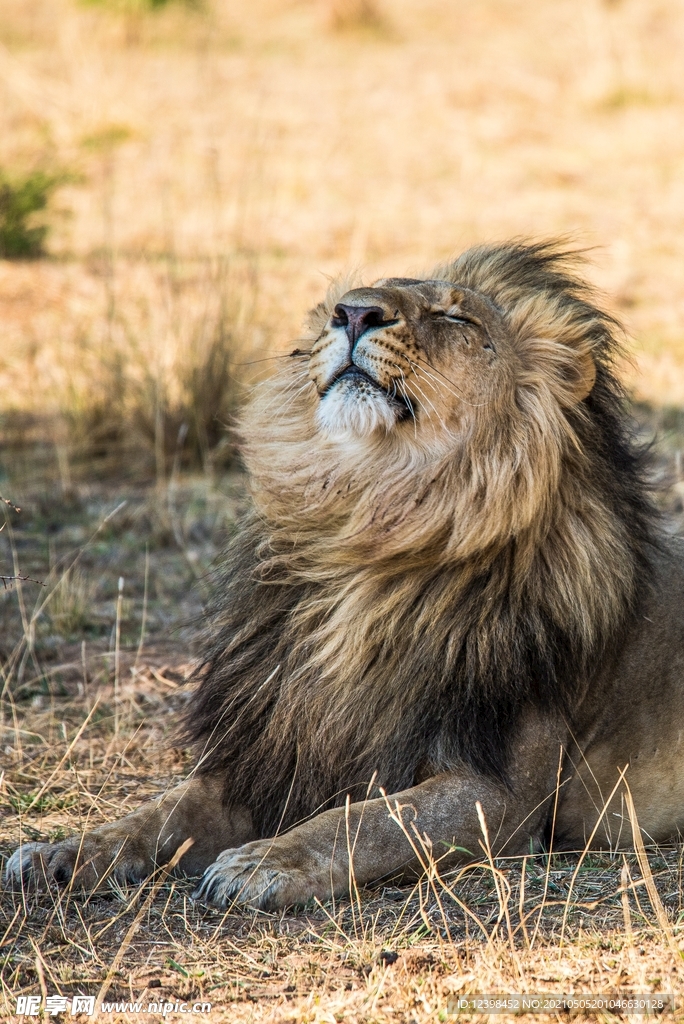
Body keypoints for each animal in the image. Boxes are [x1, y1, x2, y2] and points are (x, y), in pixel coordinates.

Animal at [3, 241, 679, 913]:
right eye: (345, 303)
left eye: (456, 317)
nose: (353, 313)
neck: (369, 533)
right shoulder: (271, 750)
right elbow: (156, 814)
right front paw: (61, 852)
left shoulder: (502, 795)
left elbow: (363, 821)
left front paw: (262, 862)